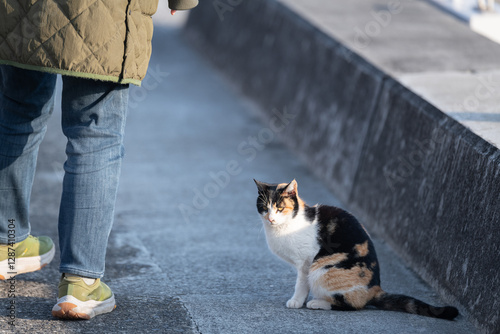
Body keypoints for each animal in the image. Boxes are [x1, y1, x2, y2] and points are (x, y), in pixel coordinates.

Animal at [256, 179, 458, 320]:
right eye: (265, 208)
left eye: (280, 208)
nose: (271, 219)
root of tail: (376, 288)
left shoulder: (306, 262)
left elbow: (301, 284)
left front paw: (297, 301)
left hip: (321, 269)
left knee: (351, 305)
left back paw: (317, 302)